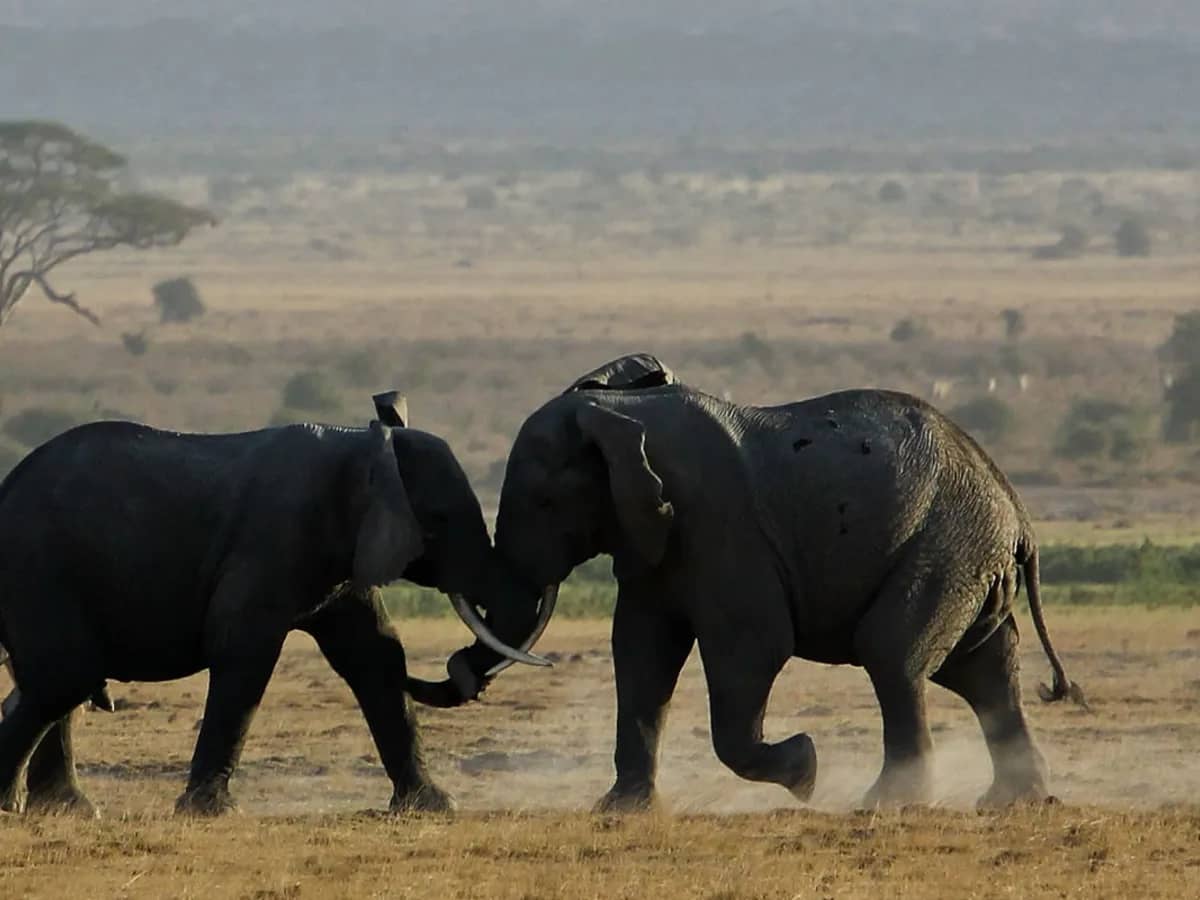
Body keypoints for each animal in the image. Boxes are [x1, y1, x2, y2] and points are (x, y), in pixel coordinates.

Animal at [0, 392, 552, 818]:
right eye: (437, 520)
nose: (463, 669)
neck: (362, 447)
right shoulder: (272, 539)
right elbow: (245, 651)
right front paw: (213, 813)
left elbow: (375, 656)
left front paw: (434, 806)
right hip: (38, 565)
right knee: (64, 677)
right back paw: (18, 807)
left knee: (57, 682)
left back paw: (69, 809)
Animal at [478, 353, 1085, 812]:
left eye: (543, 502)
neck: (622, 413)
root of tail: (1017, 511)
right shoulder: (653, 540)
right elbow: (640, 651)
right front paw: (619, 811)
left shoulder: (720, 526)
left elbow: (752, 647)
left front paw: (805, 772)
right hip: (967, 557)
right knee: (983, 670)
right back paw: (1011, 802)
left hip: (947, 545)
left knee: (894, 655)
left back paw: (886, 803)